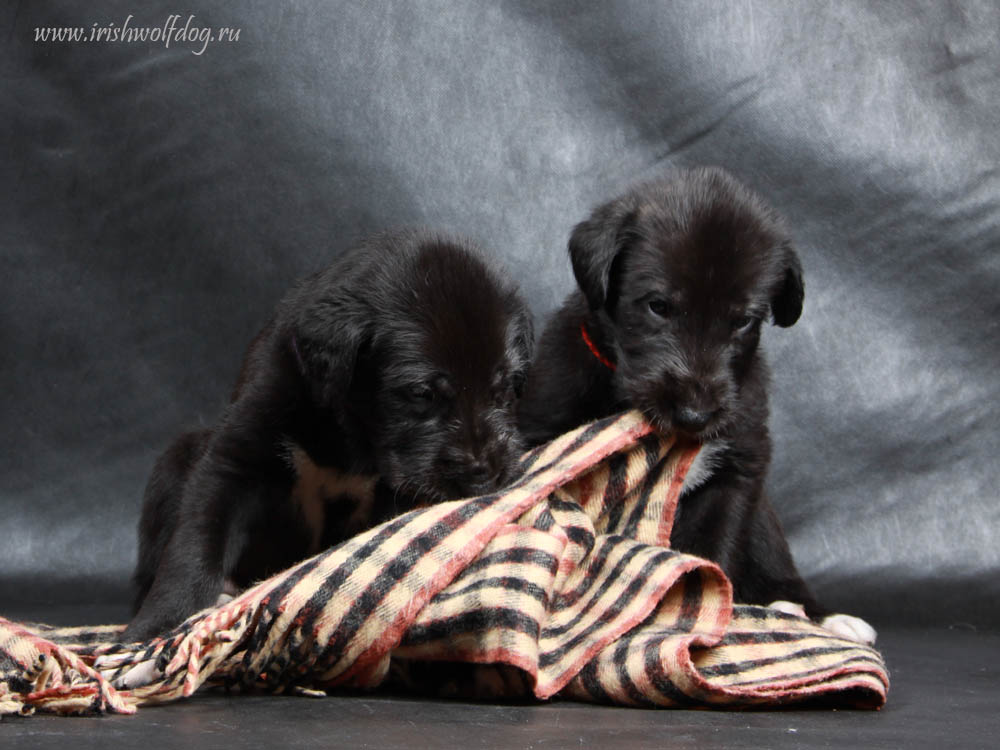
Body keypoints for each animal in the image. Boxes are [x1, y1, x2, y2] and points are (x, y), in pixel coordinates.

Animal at [126, 232, 536, 644]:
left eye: (504, 387)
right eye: (421, 393)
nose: (484, 474)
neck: (347, 437)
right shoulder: (236, 456)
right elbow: (196, 542)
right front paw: (157, 625)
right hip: (175, 460)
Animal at [516, 169, 876, 648]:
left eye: (743, 321)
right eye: (658, 306)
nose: (695, 414)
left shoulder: (735, 473)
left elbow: (710, 556)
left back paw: (814, 612)